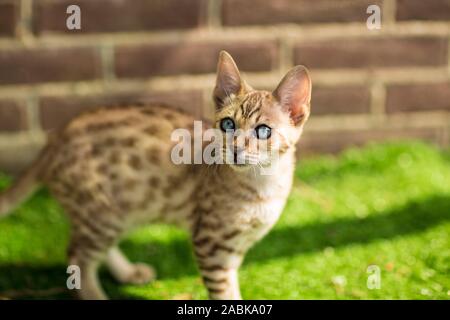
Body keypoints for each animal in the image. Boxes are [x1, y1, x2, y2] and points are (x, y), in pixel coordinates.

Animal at [0, 52, 310, 300]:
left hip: (118, 210)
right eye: (228, 124)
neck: (264, 185)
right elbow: (224, 294)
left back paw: (126, 272)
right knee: (77, 256)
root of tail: (56, 137)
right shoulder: (211, 246)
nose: (234, 149)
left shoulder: (233, 250)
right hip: (103, 212)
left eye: (263, 131)